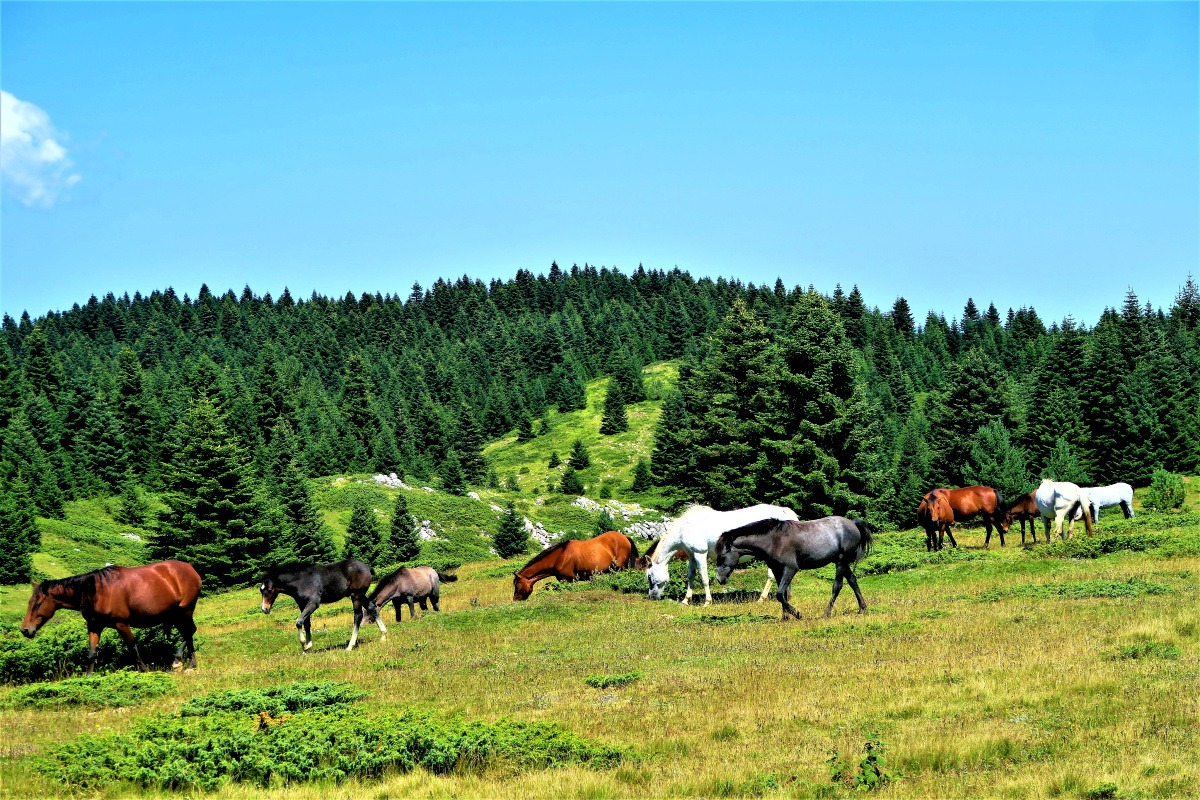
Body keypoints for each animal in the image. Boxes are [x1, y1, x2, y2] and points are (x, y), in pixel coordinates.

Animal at [21, 561, 201, 681]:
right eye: (29, 602)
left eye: (37, 603)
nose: (25, 630)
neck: (96, 592)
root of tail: (191, 569)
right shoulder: (94, 626)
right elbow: (92, 653)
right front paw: (88, 677)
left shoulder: (122, 624)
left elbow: (133, 648)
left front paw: (144, 670)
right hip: (175, 614)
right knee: (188, 633)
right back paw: (187, 663)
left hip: (185, 610)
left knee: (189, 632)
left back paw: (180, 662)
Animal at [643, 503, 801, 604]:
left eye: (649, 576)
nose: (652, 597)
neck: (685, 528)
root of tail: (785, 513)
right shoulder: (692, 556)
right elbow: (690, 577)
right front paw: (686, 600)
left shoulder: (700, 554)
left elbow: (704, 579)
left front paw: (707, 602)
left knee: (771, 576)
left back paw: (761, 599)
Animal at [710, 515, 873, 623]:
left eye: (722, 556)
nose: (719, 578)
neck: (773, 540)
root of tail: (853, 523)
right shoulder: (777, 570)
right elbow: (782, 595)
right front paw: (785, 617)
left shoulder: (790, 569)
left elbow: (780, 594)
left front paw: (797, 614)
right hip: (842, 563)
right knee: (853, 581)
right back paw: (862, 608)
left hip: (840, 562)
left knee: (837, 586)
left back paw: (826, 613)